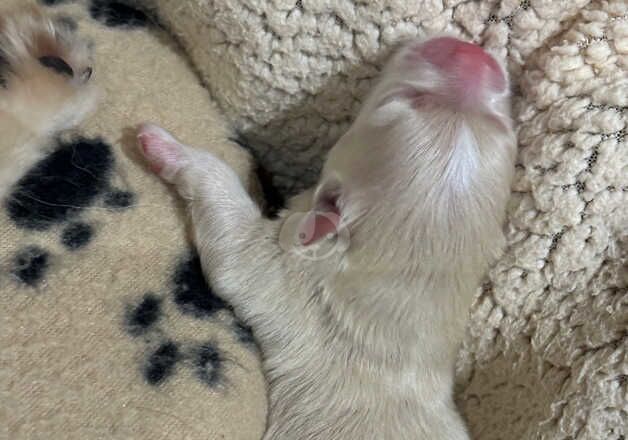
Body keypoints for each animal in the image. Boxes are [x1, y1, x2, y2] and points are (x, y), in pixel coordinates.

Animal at [137, 36, 516, 438]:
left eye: (401, 98)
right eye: (501, 124)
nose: (472, 53)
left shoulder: (275, 276)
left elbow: (228, 229)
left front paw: (167, 147)